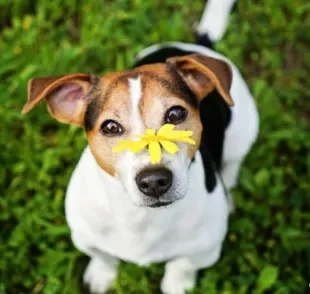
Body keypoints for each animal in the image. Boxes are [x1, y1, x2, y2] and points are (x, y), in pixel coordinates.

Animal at [22, 2, 260, 294]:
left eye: (176, 113)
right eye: (110, 127)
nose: (154, 181)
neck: (141, 219)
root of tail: (198, 46)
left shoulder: (204, 251)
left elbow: (180, 267)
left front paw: (177, 286)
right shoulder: (84, 237)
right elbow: (104, 256)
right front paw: (101, 274)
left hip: (244, 132)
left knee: (232, 165)